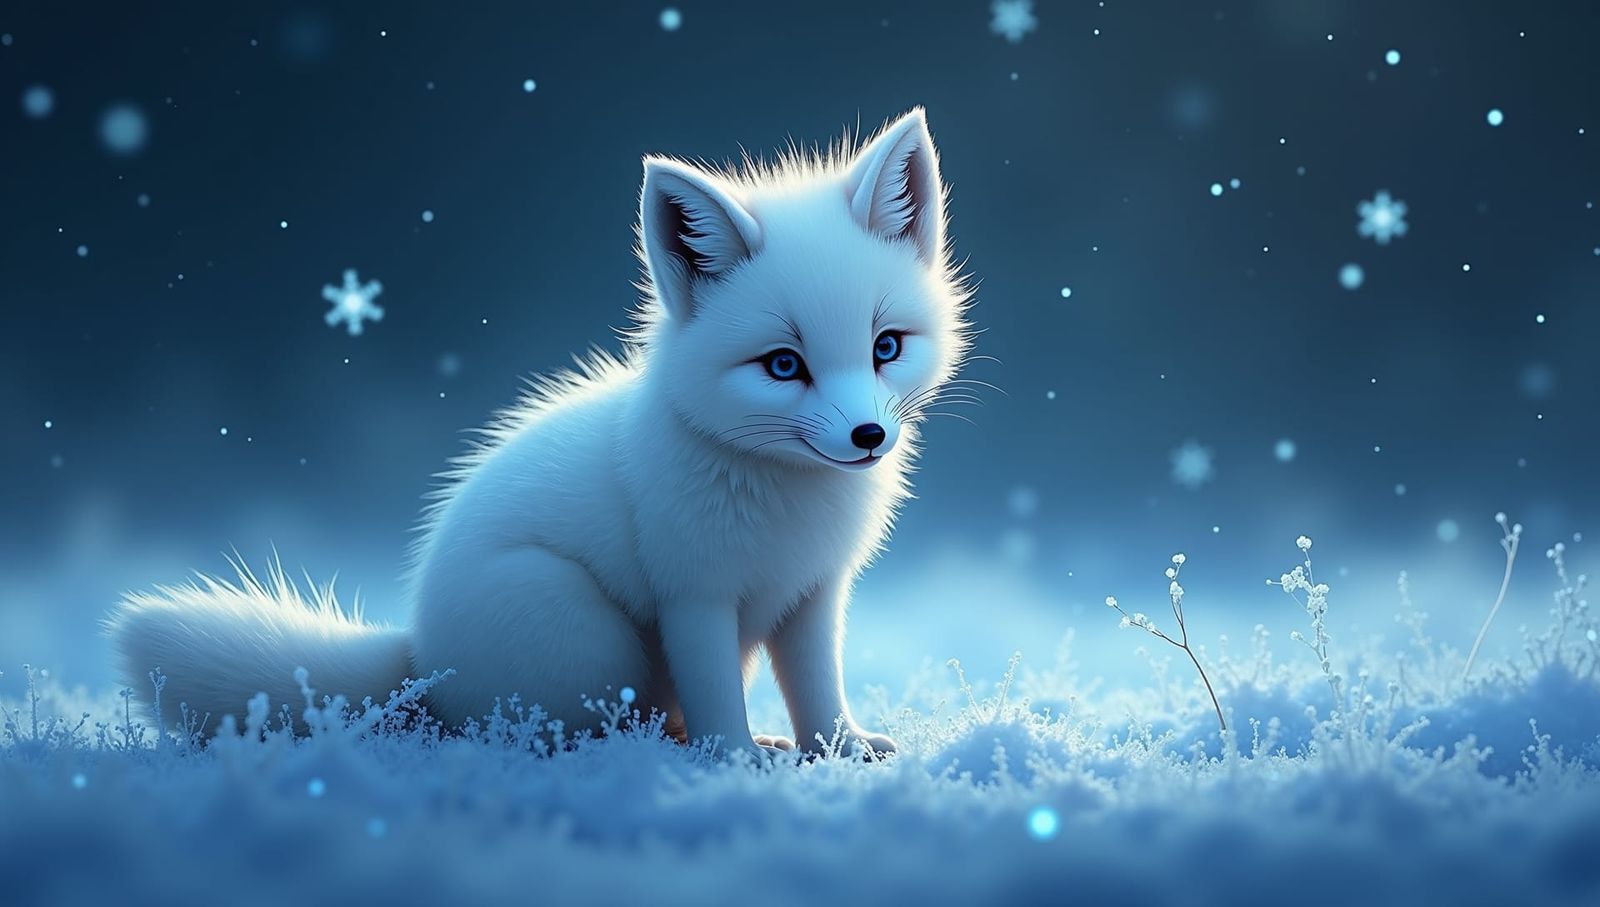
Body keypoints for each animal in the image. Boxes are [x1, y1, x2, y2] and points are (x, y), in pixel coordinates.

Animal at [108, 108, 973, 760]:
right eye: (784, 364)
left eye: (885, 346)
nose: (867, 435)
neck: (785, 499)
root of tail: (422, 657)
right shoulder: (693, 596)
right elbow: (717, 694)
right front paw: (732, 759)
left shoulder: (813, 594)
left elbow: (819, 689)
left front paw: (840, 751)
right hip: (587, 629)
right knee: (549, 731)